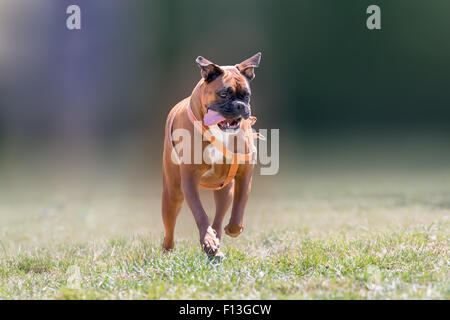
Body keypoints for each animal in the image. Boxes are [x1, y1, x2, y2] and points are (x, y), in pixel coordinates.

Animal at [162, 53, 262, 258]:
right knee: (169, 228)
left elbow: (239, 206)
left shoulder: (244, 175)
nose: (240, 105)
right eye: (224, 94)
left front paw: (231, 229)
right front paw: (207, 239)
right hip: (172, 194)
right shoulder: (189, 182)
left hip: (225, 191)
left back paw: (215, 241)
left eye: (246, 95)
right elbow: (201, 214)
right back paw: (169, 250)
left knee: (219, 215)